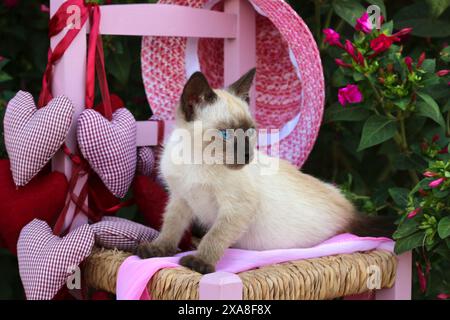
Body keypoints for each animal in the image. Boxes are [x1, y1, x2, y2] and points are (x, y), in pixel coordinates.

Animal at [135, 69, 392, 274]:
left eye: (249, 132)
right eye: (226, 134)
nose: (247, 156)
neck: (195, 160)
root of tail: (351, 211)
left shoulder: (237, 208)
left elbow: (214, 237)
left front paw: (200, 263)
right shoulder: (180, 198)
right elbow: (171, 227)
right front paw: (158, 249)